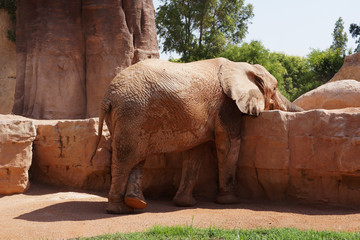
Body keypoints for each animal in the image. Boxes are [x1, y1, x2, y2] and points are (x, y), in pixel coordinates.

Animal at [91, 57, 302, 214]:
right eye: (275, 88)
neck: (241, 66)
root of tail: (106, 97)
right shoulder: (227, 105)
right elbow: (228, 143)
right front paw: (229, 201)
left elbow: (195, 152)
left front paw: (185, 204)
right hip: (132, 112)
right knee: (126, 159)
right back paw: (118, 210)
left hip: (129, 117)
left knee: (137, 157)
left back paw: (136, 204)